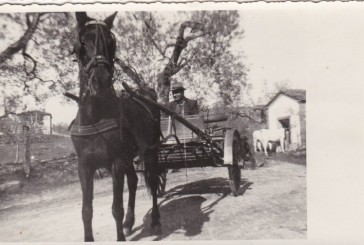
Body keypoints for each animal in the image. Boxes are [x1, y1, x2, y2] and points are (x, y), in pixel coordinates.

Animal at [70, 12, 161, 240]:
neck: (95, 117)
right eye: (82, 41)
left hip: (151, 150)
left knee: (153, 181)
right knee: (134, 182)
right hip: (129, 158)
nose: (101, 81)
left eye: (111, 42)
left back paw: (155, 220)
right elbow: (86, 210)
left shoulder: (116, 162)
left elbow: (116, 208)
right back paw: (130, 222)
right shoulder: (84, 166)